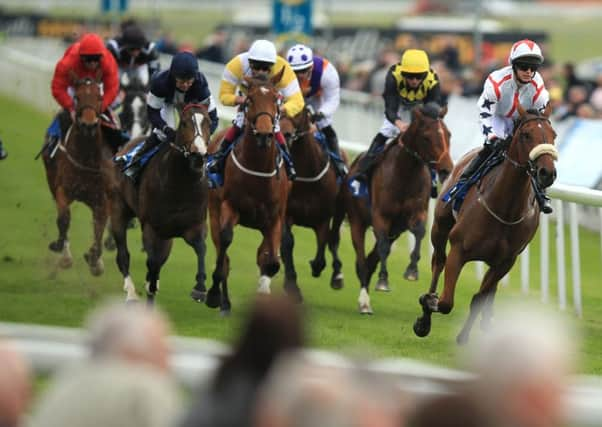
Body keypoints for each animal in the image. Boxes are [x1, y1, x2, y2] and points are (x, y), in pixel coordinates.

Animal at [41, 75, 116, 276]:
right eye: (77, 97)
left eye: (100, 97)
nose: (88, 125)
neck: (86, 159)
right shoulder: (63, 190)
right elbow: (64, 218)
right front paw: (61, 249)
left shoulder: (102, 199)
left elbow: (100, 225)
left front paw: (95, 259)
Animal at [109, 103, 211, 304]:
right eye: (184, 123)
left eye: (209, 123)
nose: (198, 155)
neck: (180, 185)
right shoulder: (151, 227)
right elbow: (153, 261)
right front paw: (150, 285)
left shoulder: (194, 225)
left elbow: (201, 248)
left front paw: (200, 288)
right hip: (118, 208)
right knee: (123, 255)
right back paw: (131, 293)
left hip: (167, 236)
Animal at [206, 70, 290, 316]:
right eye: (249, 100)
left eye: (276, 99)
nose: (264, 134)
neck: (258, 170)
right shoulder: (229, 207)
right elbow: (225, 245)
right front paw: (213, 295)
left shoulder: (274, 218)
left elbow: (272, 262)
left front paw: (264, 293)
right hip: (213, 210)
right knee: (221, 250)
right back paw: (223, 302)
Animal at [342, 103, 450, 314]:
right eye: (427, 137)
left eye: (448, 134)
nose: (447, 169)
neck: (405, 174)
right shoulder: (380, 216)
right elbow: (383, 247)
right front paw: (383, 281)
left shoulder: (415, 213)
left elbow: (419, 231)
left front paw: (412, 269)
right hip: (357, 221)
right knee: (362, 260)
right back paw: (364, 301)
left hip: (395, 230)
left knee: (371, 259)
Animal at [412, 104, 556, 344]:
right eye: (526, 135)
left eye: (554, 135)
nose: (548, 173)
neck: (505, 208)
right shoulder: (459, 250)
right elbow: (445, 302)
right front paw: (427, 306)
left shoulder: (506, 261)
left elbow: (479, 298)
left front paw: (464, 336)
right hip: (440, 227)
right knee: (438, 261)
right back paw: (426, 315)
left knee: (490, 289)